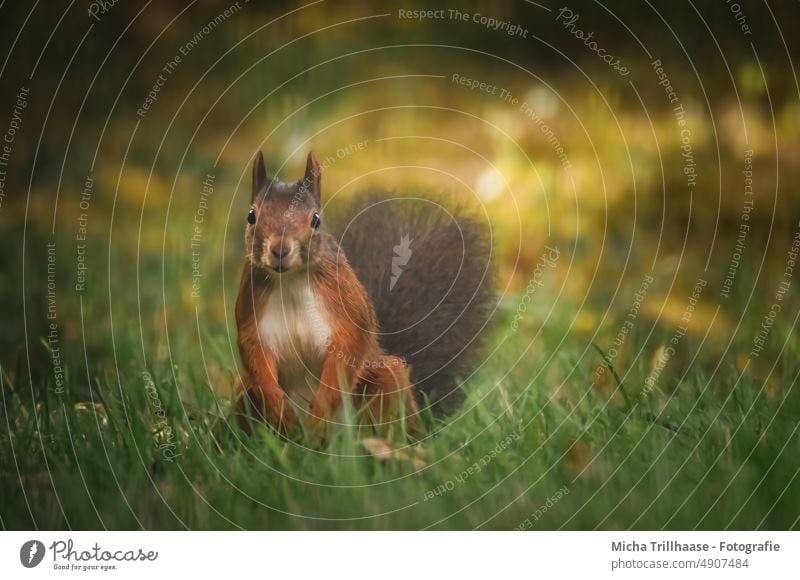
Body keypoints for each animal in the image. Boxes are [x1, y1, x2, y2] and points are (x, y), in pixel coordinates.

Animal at [233, 152, 494, 438]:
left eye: (315, 219)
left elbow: (348, 348)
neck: (290, 281)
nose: (280, 249)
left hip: (386, 377)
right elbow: (255, 355)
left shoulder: (345, 303)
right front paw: (279, 410)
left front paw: (319, 415)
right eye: (251, 216)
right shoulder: (251, 312)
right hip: (243, 392)